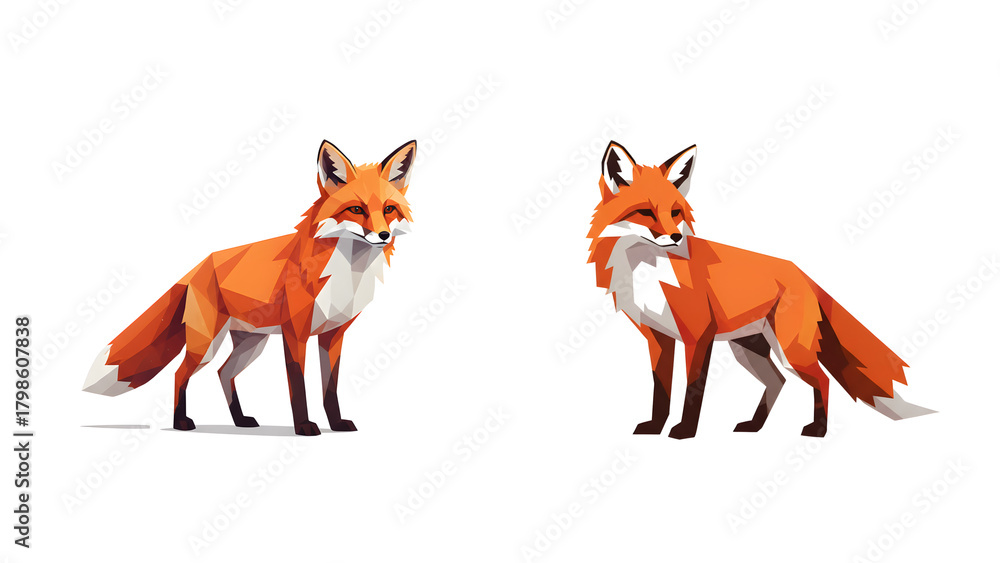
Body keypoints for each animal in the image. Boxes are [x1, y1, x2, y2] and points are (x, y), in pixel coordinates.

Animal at [83, 139, 416, 436]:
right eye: (357, 210)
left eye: (389, 209)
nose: (383, 235)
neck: (345, 274)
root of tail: (200, 265)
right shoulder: (296, 333)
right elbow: (298, 386)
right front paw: (304, 427)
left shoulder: (333, 335)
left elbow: (329, 388)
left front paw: (335, 424)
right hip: (206, 344)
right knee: (180, 374)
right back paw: (181, 422)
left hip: (251, 344)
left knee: (223, 372)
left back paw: (240, 420)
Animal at [587, 141, 934, 439]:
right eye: (645, 212)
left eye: (675, 212)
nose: (674, 237)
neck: (648, 272)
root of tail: (800, 273)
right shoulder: (658, 337)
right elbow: (661, 390)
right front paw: (655, 427)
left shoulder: (697, 336)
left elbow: (692, 389)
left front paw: (684, 431)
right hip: (748, 349)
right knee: (778, 381)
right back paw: (755, 425)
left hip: (789, 350)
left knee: (821, 380)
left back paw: (817, 430)